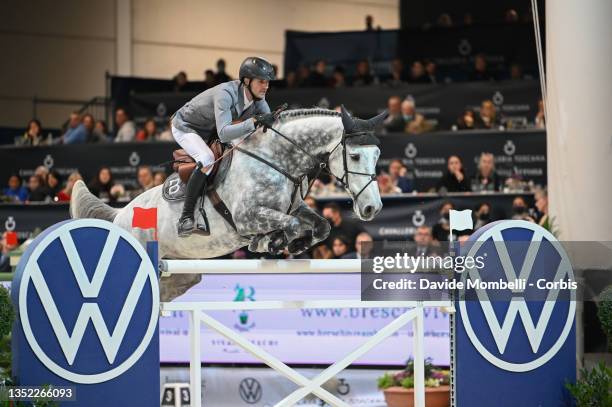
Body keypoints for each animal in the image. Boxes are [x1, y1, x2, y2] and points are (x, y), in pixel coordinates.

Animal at [71, 107, 384, 302]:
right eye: (355, 156)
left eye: (378, 155)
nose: (373, 208)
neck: (278, 159)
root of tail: (119, 215)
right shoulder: (247, 217)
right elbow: (291, 224)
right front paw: (270, 242)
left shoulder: (292, 208)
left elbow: (321, 226)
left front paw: (292, 244)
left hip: (184, 269)